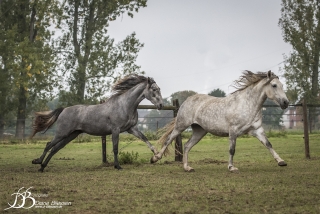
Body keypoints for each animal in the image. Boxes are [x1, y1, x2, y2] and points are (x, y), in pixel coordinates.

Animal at [30, 74, 162, 171]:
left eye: (159, 89)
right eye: (154, 89)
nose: (161, 105)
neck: (124, 105)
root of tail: (63, 110)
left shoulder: (131, 129)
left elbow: (145, 139)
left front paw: (156, 155)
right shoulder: (116, 130)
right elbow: (115, 148)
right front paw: (118, 166)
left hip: (72, 134)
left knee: (55, 148)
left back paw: (42, 167)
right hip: (62, 133)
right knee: (49, 145)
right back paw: (37, 162)